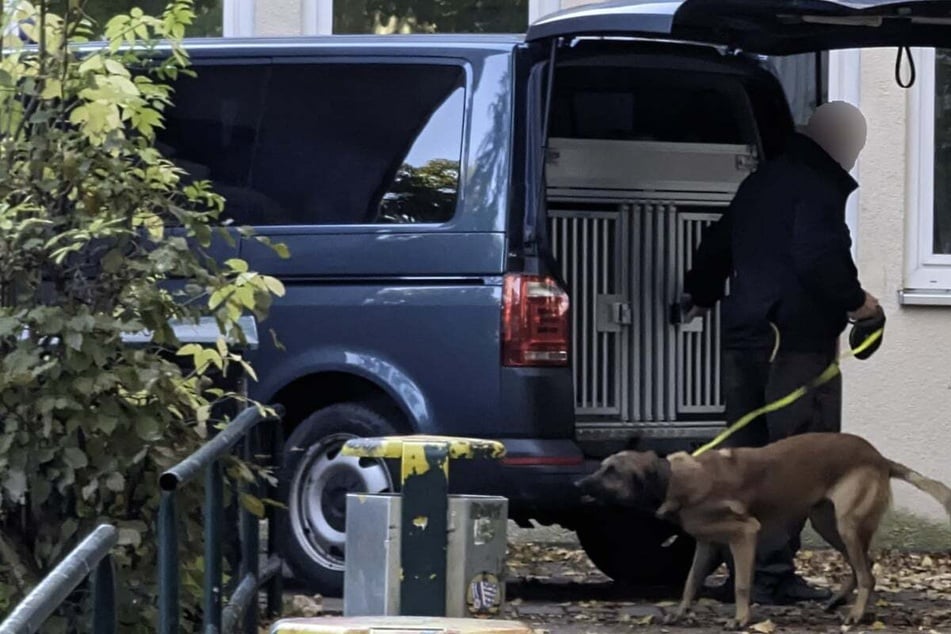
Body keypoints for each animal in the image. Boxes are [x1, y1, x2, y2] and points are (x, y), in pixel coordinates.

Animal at [572, 430, 951, 628]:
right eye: (602, 467)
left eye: (611, 472)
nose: (578, 483)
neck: (673, 479)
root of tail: (879, 458)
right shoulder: (707, 544)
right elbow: (690, 582)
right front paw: (680, 613)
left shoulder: (745, 534)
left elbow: (741, 583)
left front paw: (741, 619)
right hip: (827, 523)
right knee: (864, 567)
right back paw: (836, 602)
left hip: (845, 523)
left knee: (867, 573)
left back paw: (855, 615)